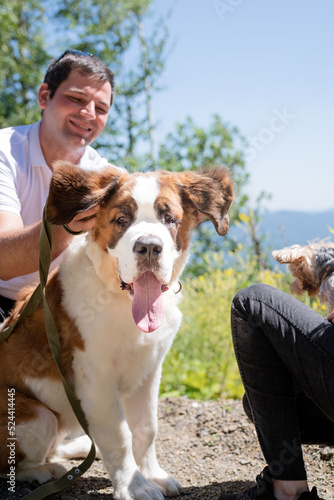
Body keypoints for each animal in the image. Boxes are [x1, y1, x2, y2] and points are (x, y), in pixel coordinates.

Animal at [0, 162, 234, 498]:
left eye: (170, 219)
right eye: (121, 220)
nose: (149, 247)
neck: (121, 299)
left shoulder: (150, 369)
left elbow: (147, 427)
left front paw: (153, 474)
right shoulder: (96, 378)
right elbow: (119, 435)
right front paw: (135, 486)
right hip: (36, 414)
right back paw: (45, 470)